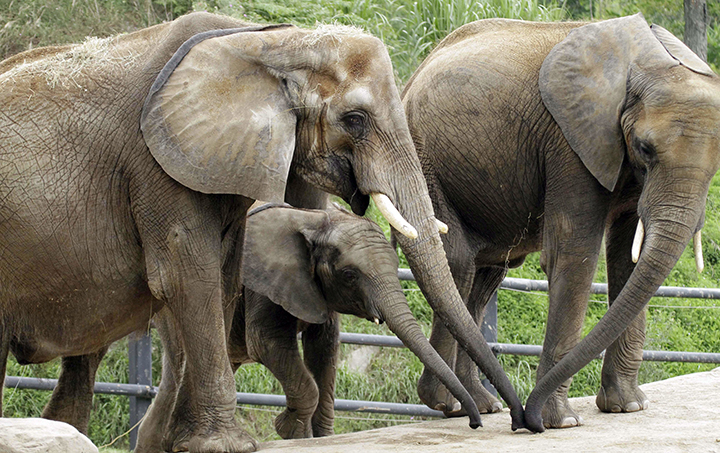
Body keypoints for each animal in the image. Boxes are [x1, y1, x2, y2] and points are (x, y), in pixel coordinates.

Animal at [0, 11, 530, 452]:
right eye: (355, 120)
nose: (508, 420)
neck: (268, 43)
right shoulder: (154, 163)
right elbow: (186, 278)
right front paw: (228, 444)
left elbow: (222, 277)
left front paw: (195, 442)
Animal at [401, 14, 720, 433]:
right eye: (646, 149)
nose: (527, 420)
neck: (650, 62)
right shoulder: (570, 142)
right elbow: (573, 255)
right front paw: (563, 422)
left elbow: (628, 259)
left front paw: (629, 408)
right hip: (420, 158)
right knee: (458, 264)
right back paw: (450, 403)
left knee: (485, 276)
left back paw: (485, 404)